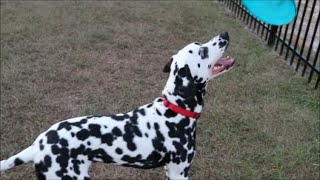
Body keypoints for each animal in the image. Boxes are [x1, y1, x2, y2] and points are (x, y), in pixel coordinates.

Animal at [0, 31, 235, 179]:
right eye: (202, 52)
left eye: (199, 45)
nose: (224, 34)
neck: (175, 109)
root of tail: (38, 145)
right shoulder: (180, 171)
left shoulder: (170, 172)